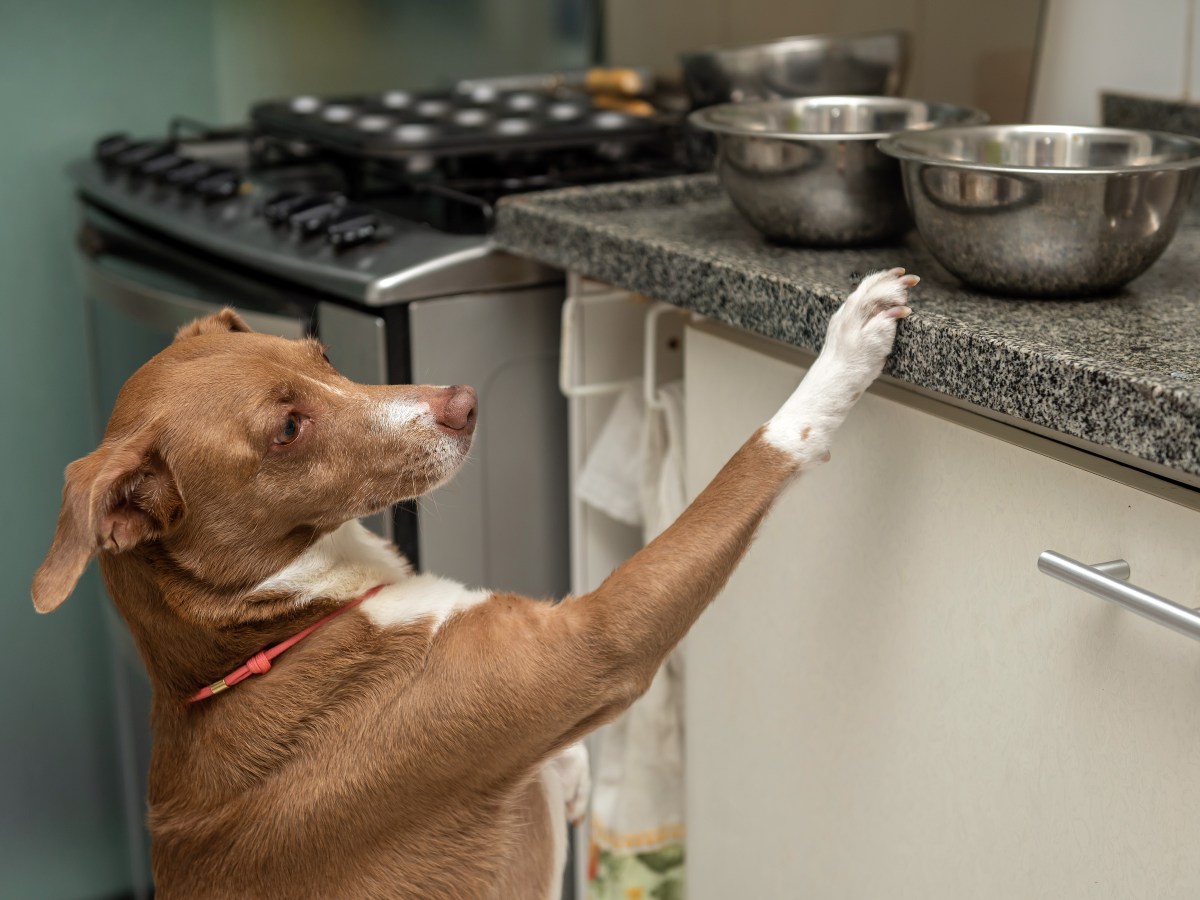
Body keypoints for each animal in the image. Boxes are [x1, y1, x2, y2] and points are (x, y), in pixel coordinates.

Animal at [35, 270, 916, 900]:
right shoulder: (597, 646)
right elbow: (756, 457)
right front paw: (846, 348)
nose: (462, 403)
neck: (279, 634)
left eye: (321, 355)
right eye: (286, 429)